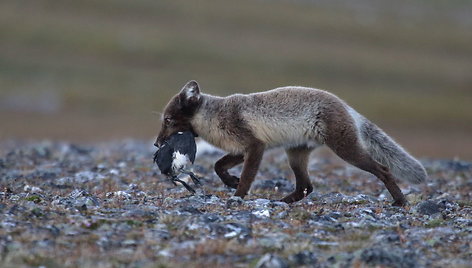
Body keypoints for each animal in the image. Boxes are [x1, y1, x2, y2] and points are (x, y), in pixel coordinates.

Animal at [156, 80, 428, 206]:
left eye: (168, 120)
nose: (158, 145)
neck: (214, 116)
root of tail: (346, 106)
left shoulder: (255, 146)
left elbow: (246, 176)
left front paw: (238, 195)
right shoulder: (242, 149)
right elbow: (218, 166)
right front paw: (230, 181)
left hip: (346, 150)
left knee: (383, 170)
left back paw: (400, 201)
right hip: (295, 155)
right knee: (306, 187)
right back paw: (281, 202)